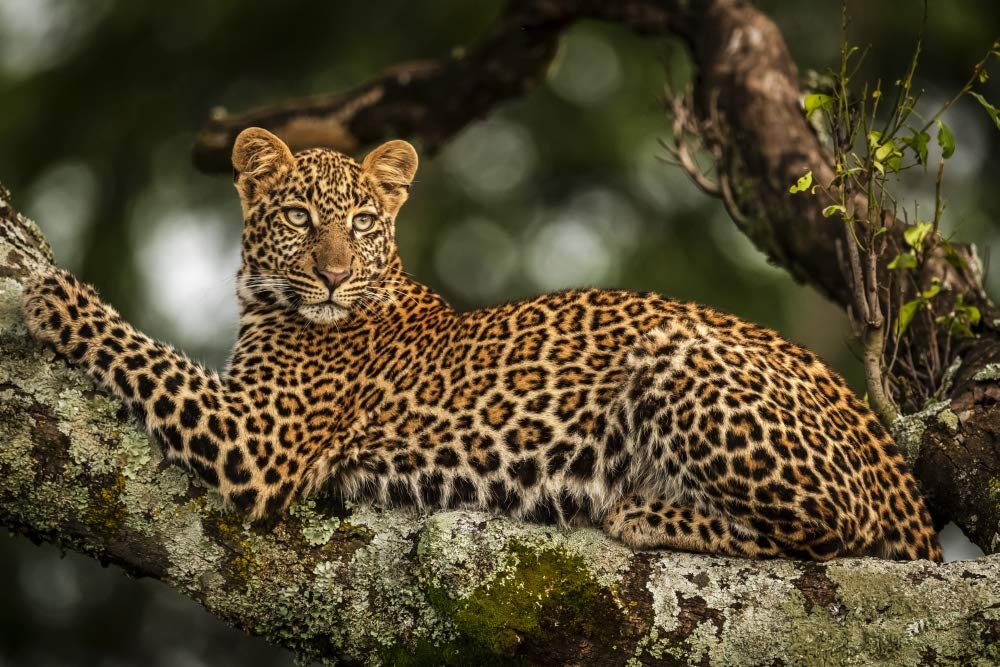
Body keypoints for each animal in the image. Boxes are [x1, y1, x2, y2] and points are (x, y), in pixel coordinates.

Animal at [22, 127, 942, 561]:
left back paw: (642, 507)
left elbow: (148, 354)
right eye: (299, 217)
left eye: (362, 222)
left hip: (674, 348)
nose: (332, 275)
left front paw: (56, 292)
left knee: (838, 528)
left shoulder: (258, 440)